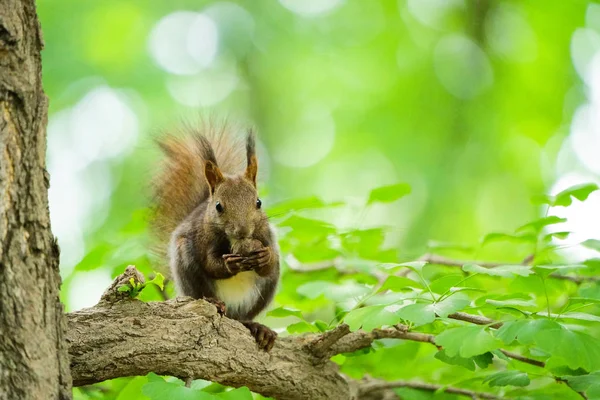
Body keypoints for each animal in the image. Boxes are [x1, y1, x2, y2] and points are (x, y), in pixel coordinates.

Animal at [150, 123, 282, 352]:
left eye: (258, 203)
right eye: (219, 206)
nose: (242, 231)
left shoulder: (266, 236)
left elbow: (268, 265)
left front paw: (264, 257)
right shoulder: (204, 239)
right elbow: (210, 264)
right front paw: (230, 264)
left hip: (265, 290)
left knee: (243, 317)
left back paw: (256, 327)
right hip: (187, 267)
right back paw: (215, 303)